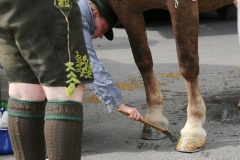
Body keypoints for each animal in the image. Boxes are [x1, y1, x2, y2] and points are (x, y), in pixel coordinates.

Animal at [108, 0, 237, 152]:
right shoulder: (125, 8)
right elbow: (142, 59)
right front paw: (154, 117)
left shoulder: (182, 5)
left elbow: (187, 64)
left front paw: (192, 129)